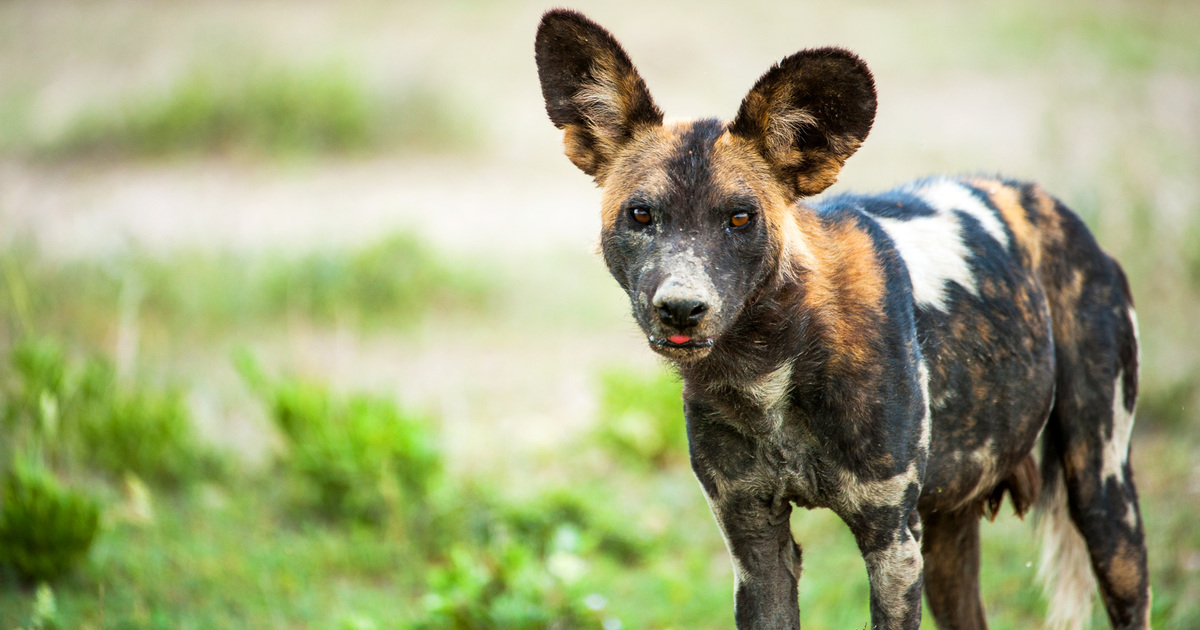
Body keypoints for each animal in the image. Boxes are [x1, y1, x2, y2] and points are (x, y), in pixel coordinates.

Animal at [537, 9, 1152, 628]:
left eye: (740, 218)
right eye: (642, 215)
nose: (682, 308)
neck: (770, 371)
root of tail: (1054, 205)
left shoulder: (892, 544)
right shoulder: (755, 546)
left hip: (1103, 499)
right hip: (949, 536)